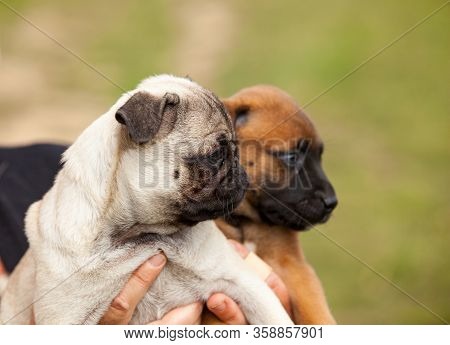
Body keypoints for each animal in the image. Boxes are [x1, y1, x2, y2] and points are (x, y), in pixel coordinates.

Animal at [215, 85, 338, 322]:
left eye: (319, 156)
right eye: (291, 157)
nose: (331, 202)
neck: (244, 222)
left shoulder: (293, 267)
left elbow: (316, 308)